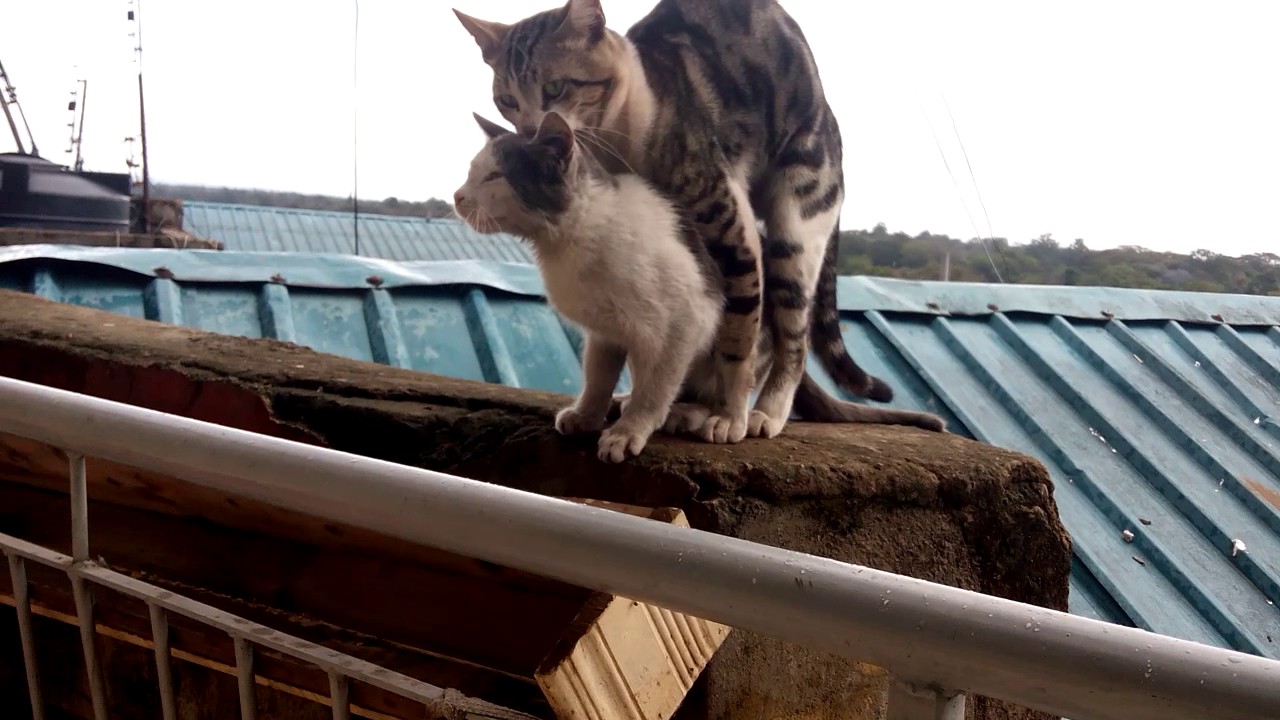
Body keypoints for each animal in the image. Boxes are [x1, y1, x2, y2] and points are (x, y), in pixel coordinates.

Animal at [455, 110, 727, 458]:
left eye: (494, 176)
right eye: (471, 173)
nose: (457, 196)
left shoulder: (684, 320)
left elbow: (656, 386)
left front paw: (630, 429)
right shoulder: (605, 331)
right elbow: (597, 377)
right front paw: (586, 414)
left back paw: (687, 413)